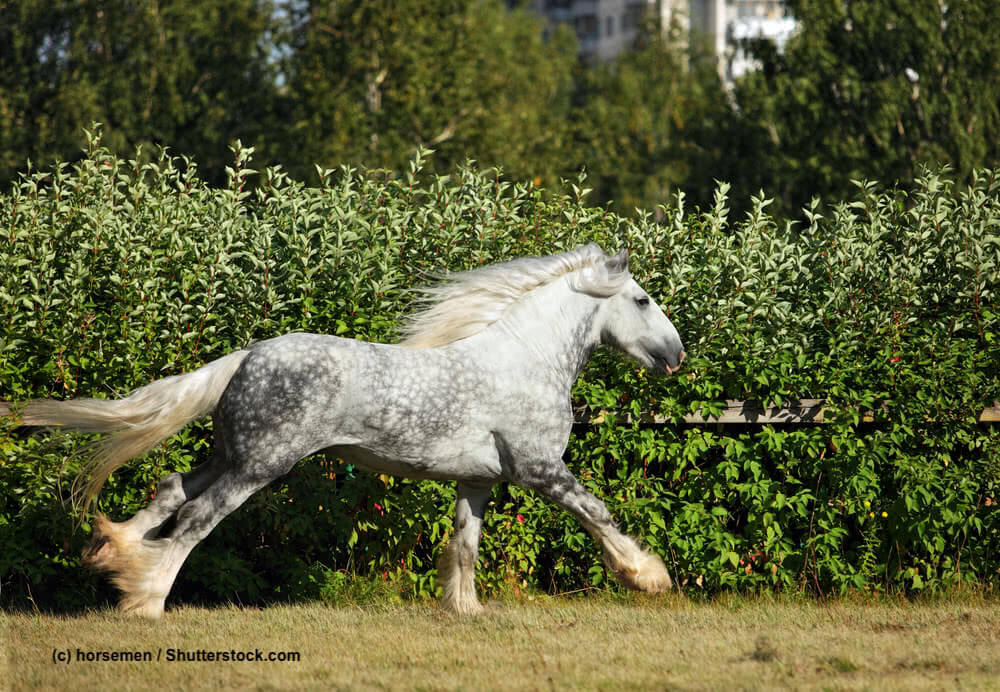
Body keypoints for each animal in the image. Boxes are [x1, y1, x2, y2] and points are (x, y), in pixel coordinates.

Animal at [1, 243, 685, 618]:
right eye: (643, 300)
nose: (676, 355)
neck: (525, 360)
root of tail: (246, 357)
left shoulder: (479, 481)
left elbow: (464, 546)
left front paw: (464, 609)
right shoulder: (539, 469)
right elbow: (597, 512)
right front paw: (648, 577)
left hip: (233, 454)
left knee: (171, 487)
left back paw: (111, 553)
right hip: (261, 464)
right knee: (196, 519)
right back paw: (144, 599)